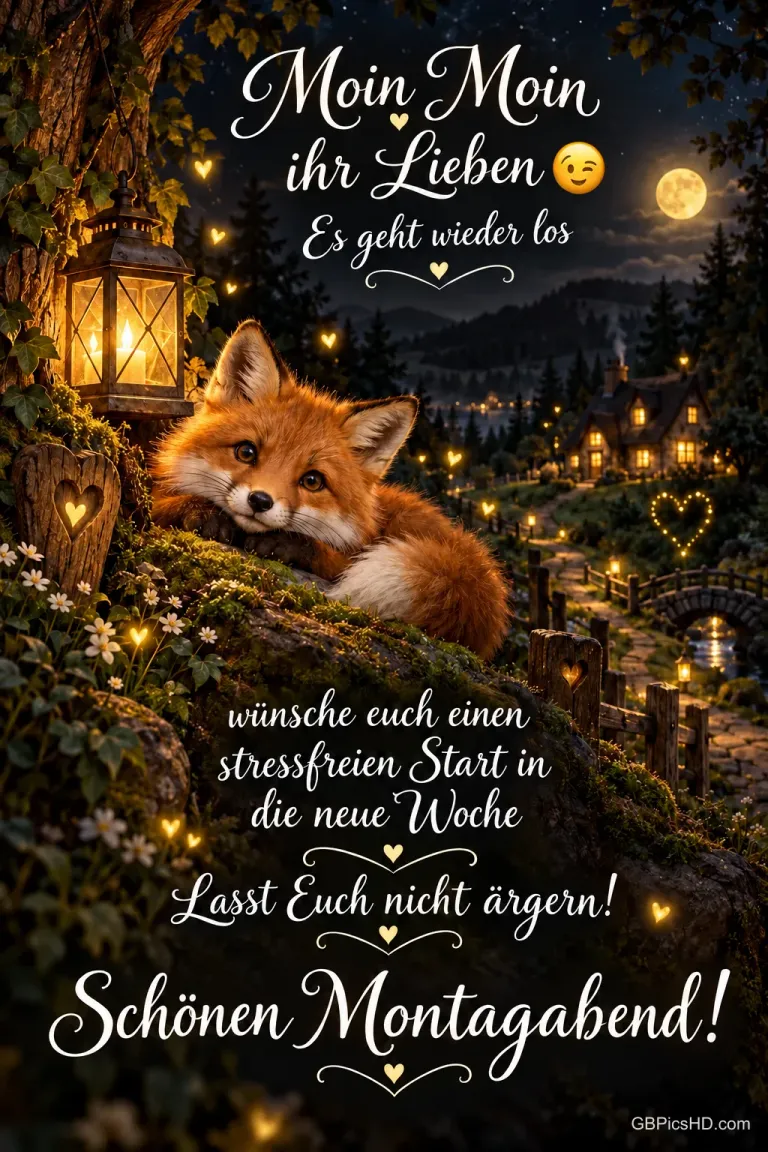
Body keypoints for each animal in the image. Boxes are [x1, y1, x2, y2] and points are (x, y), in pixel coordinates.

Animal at [152, 320, 510, 659]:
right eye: (246, 452)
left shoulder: (354, 553)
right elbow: (160, 504)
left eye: (313, 481)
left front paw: (287, 543)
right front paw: (197, 511)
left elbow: (328, 555)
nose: (260, 500)